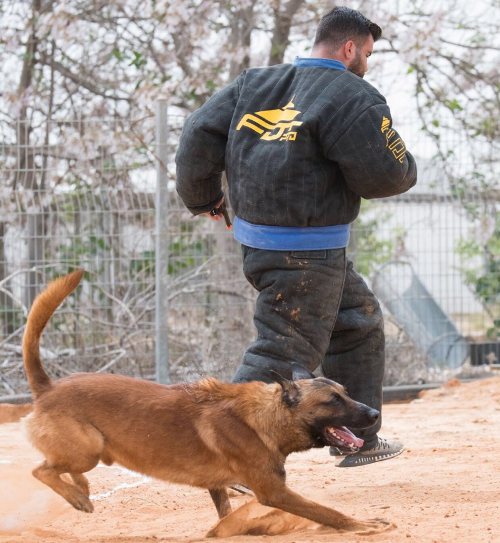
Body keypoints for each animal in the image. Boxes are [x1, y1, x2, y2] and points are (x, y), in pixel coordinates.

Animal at [23, 272, 390, 536]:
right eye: (333, 400)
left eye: (346, 391)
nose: (374, 413)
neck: (265, 418)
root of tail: (48, 388)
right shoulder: (273, 492)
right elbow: (326, 511)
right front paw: (361, 525)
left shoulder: (219, 485)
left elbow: (226, 514)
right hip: (88, 448)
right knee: (41, 470)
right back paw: (76, 496)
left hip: (90, 451)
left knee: (59, 467)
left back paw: (82, 489)